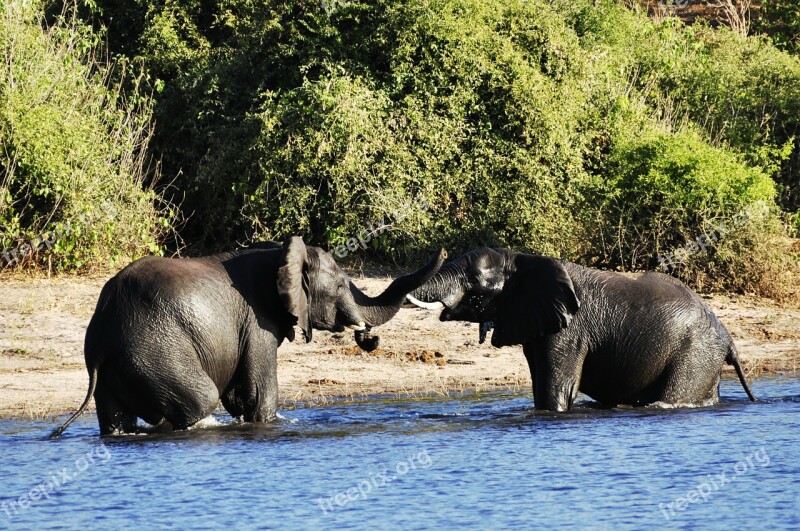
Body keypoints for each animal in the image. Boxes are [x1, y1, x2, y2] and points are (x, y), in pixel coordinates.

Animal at [53, 239, 446, 438]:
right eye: (338, 287)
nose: (368, 337)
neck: (279, 255)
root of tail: (102, 333)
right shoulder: (258, 323)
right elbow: (257, 395)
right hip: (153, 349)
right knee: (199, 400)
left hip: (118, 365)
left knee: (116, 419)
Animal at [406, 248, 756, 412]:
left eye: (475, 282)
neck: (521, 260)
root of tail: (729, 339)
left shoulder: (570, 330)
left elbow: (557, 388)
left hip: (694, 354)